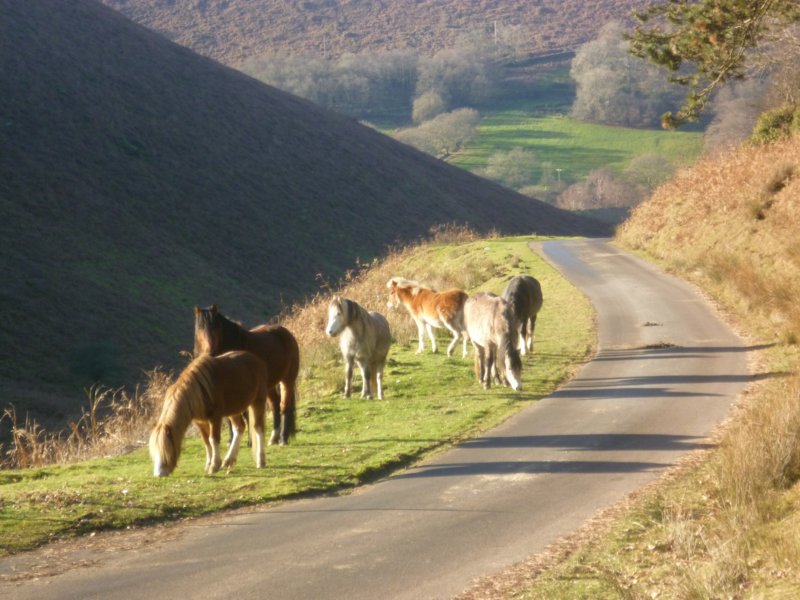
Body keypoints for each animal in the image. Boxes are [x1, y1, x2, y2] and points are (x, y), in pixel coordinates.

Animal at [194, 304, 300, 446]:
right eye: (200, 328)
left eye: (214, 328)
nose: (209, 352)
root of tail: (287, 334)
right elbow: (230, 416)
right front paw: (231, 440)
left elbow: (244, 414)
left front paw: (249, 441)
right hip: (270, 385)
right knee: (275, 405)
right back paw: (273, 438)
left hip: (287, 380)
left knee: (285, 405)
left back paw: (283, 438)